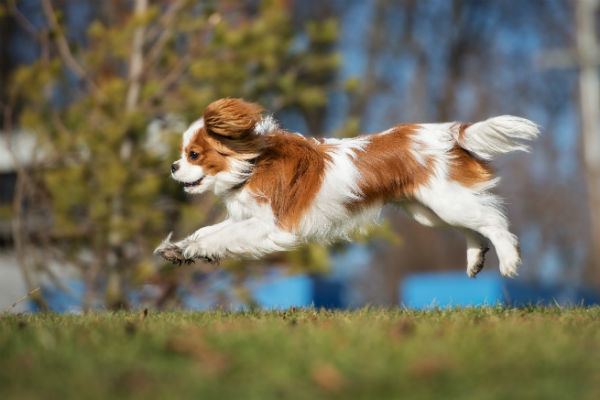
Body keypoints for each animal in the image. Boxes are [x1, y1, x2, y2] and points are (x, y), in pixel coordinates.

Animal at [155, 98, 540, 276]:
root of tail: (450, 131)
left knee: (493, 222)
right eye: (182, 154)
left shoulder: (270, 226)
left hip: (447, 202)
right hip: (429, 210)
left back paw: (509, 260)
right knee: (473, 228)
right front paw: (181, 249)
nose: (173, 166)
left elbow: (218, 236)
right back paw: (476, 258)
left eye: (193, 154)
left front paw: (194, 249)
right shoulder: (244, 218)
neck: (251, 163)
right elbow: (209, 230)